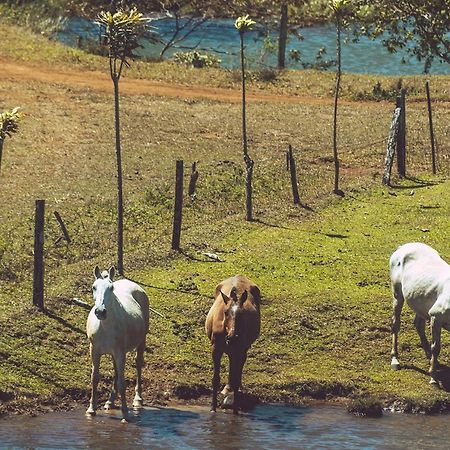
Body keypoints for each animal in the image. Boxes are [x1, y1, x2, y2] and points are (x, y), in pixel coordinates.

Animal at [84, 266, 148, 420]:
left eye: (111, 288)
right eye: (93, 287)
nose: (100, 312)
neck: (104, 327)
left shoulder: (120, 353)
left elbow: (122, 382)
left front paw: (125, 412)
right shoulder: (94, 351)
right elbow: (95, 378)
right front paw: (91, 409)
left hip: (141, 341)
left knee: (138, 364)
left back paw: (137, 399)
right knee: (116, 372)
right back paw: (110, 401)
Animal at [204, 274, 260, 414]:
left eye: (242, 313)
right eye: (225, 312)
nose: (232, 336)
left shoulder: (240, 349)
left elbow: (236, 377)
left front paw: (235, 410)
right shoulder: (216, 349)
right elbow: (215, 379)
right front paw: (213, 408)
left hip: (242, 350)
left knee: (238, 370)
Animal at [388, 241, 450, 384]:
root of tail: (403, 247)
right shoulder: (436, 316)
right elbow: (436, 347)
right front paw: (433, 378)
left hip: (419, 302)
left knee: (418, 323)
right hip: (397, 293)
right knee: (395, 324)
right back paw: (395, 360)